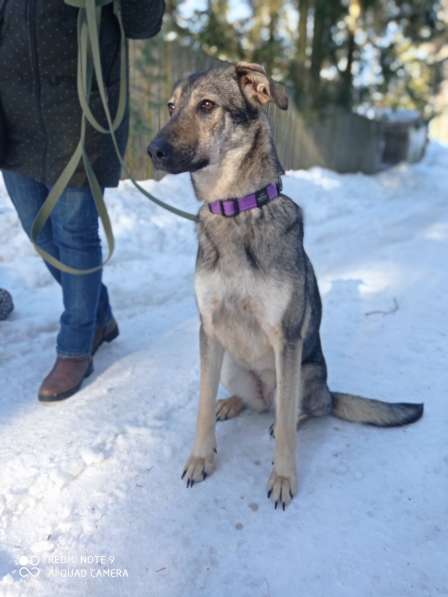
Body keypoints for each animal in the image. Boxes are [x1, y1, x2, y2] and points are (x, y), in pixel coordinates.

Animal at [148, 59, 424, 508]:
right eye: (171, 107)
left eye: (206, 106)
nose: (152, 151)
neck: (235, 210)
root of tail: (331, 390)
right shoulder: (209, 330)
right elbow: (201, 406)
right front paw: (201, 458)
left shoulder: (287, 337)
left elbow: (289, 435)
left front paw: (282, 478)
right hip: (232, 366)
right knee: (252, 401)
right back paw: (232, 404)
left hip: (303, 375)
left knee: (301, 411)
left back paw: (287, 419)